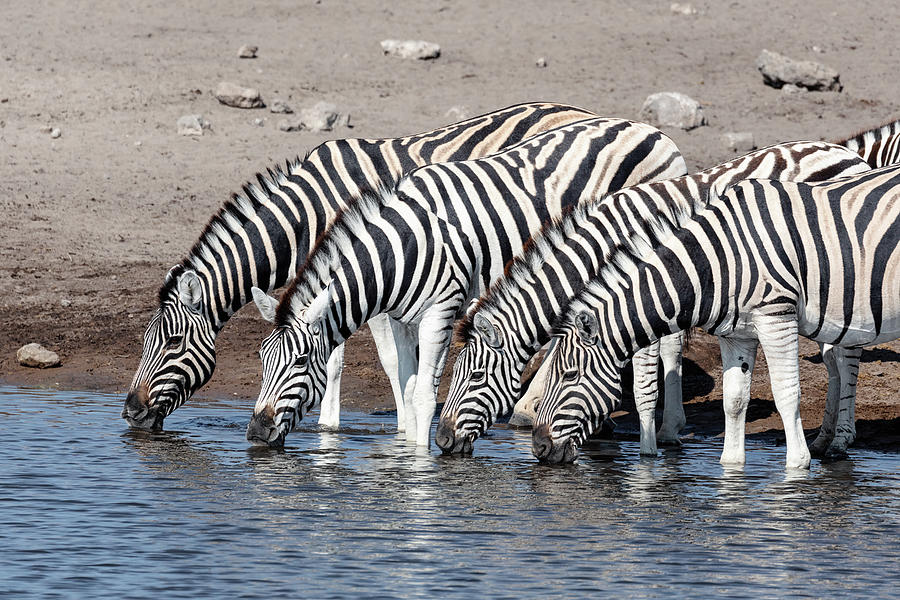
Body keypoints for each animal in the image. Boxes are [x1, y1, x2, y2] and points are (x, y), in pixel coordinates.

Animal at [118, 102, 596, 432]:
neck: (308, 213)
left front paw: (345, 429)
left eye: (173, 342)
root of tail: (579, 111)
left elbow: (365, 360)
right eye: (144, 341)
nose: (131, 413)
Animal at [243, 116, 684, 446]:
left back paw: (667, 429)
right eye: (262, 360)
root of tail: (650, 129)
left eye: (300, 361)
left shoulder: (441, 312)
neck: (402, 247)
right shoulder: (402, 317)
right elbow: (407, 385)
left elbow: (424, 394)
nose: (256, 432)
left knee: (669, 340)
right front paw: (406, 451)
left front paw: (420, 468)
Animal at [438, 142, 872, 454]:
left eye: (475, 377)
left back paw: (840, 439)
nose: (441, 441)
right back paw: (825, 436)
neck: (602, 247)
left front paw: (650, 445)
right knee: (835, 355)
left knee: (846, 356)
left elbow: (645, 372)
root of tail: (849, 154)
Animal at [536, 163, 900, 468]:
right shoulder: (736, 334)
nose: (538, 447)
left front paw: (797, 466)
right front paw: (731, 468)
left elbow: (786, 393)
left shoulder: (776, 316)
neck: (718, 262)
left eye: (568, 375)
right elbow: (734, 400)